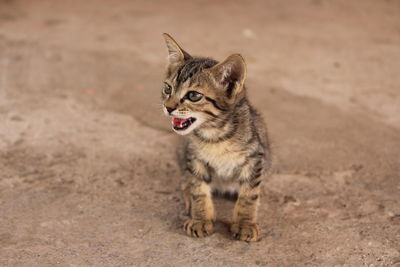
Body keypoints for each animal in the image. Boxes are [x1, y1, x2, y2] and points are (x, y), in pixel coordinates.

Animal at [161, 33, 270, 243]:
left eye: (194, 95)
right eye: (167, 88)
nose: (168, 107)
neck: (215, 137)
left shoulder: (255, 158)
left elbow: (249, 195)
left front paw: (245, 223)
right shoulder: (194, 157)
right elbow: (198, 189)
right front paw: (200, 219)